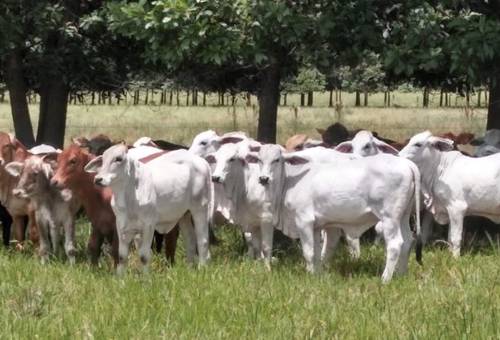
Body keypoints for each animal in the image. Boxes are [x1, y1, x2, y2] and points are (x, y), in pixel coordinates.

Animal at [84, 143, 213, 274]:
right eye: (103, 160)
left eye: (118, 159)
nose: (98, 179)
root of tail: (202, 162)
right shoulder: (121, 225)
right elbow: (121, 256)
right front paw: (121, 277)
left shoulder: (148, 226)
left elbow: (144, 256)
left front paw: (146, 278)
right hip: (184, 215)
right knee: (190, 241)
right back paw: (190, 270)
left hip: (200, 209)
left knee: (203, 241)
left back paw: (202, 269)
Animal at [258, 145, 422, 282]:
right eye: (259, 160)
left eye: (276, 160)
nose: (263, 179)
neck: (289, 182)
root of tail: (407, 163)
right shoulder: (316, 226)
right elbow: (317, 253)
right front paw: (317, 275)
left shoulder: (303, 221)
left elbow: (308, 252)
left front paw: (310, 276)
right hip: (403, 216)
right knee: (408, 241)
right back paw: (400, 275)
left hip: (390, 218)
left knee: (395, 244)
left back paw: (385, 279)